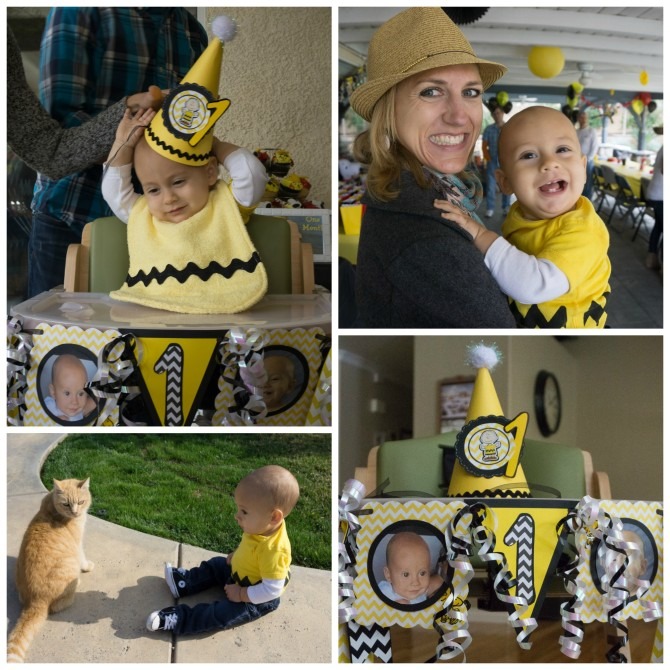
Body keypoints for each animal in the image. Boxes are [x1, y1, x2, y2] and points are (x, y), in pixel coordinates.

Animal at [6, 480, 94, 664]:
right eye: (66, 504)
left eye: (81, 502)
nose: (75, 512)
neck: (52, 507)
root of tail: (35, 600)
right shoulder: (78, 545)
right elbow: (82, 557)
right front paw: (87, 567)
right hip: (69, 571)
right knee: (57, 606)